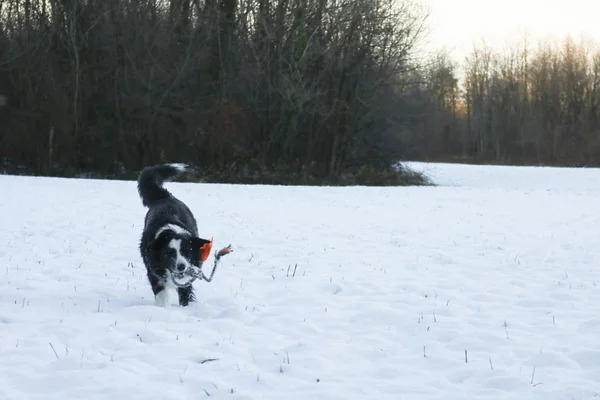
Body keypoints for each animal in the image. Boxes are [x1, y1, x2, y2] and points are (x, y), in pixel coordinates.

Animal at [137, 162, 212, 306]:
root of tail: (166, 196)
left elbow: (185, 292)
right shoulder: (153, 271)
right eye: (169, 253)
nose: (181, 266)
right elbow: (161, 294)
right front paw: (163, 308)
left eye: (187, 251)